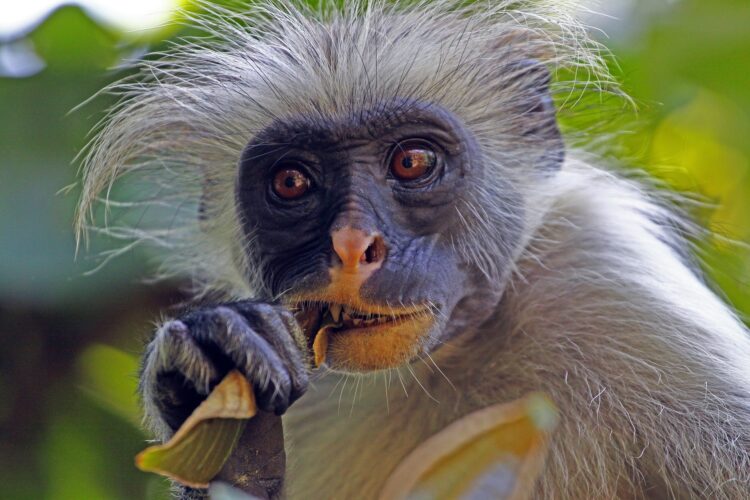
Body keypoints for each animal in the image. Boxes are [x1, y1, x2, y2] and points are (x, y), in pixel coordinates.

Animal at [75, 0, 750, 498]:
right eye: (291, 182)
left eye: (412, 161)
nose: (352, 246)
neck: (447, 361)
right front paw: (220, 410)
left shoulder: (607, 280)